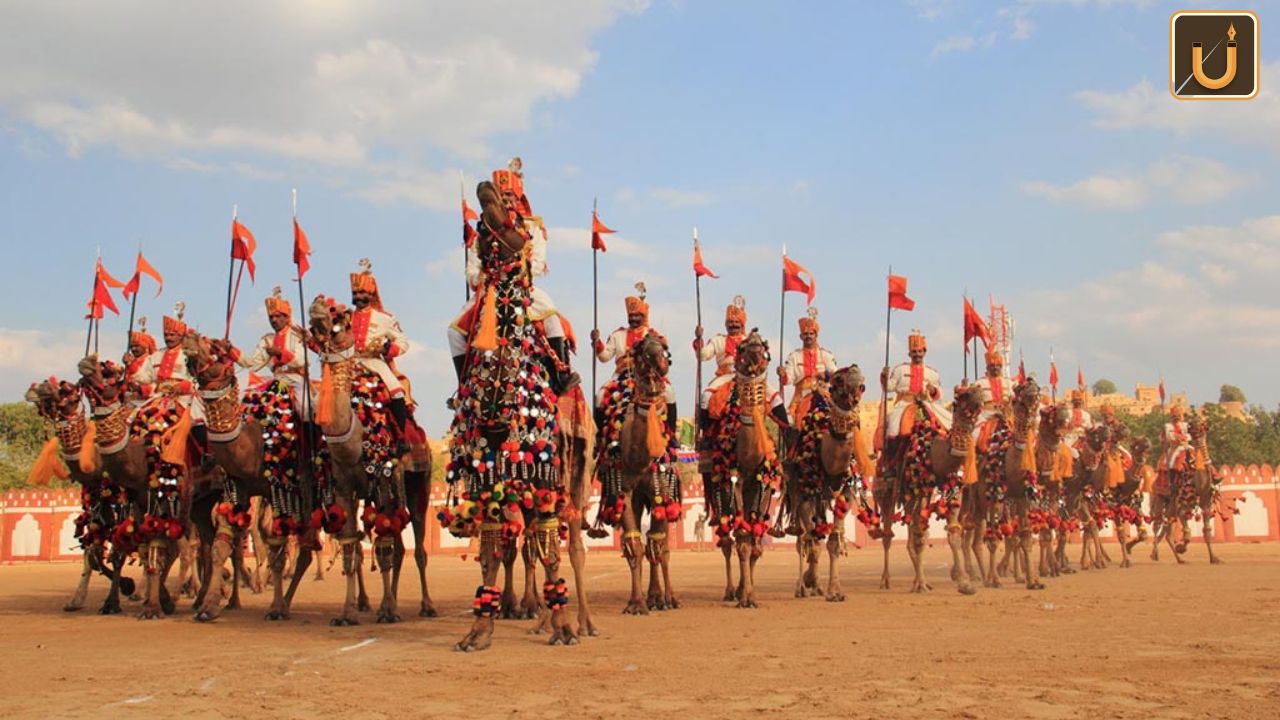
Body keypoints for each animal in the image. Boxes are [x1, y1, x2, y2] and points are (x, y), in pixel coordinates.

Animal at [778, 363, 870, 599]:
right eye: (837, 380)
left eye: (861, 380)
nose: (858, 378)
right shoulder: (805, 492)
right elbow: (812, 539)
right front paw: (808, 580)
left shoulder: (846, 490)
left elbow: (834, 541)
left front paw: (835, 591)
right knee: (802, 537)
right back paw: (802, 586)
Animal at [875, 384, 983, 591]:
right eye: (963, 394)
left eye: (977, 390)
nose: (979, 396)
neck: (932, 453)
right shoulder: (920, 489)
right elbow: (920, 535)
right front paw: (921, 584)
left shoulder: (952, 489)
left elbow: (952, 533)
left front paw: (964, 582)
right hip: (885, 492)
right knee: (888, 533)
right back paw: (885, 580)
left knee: (911, 532)